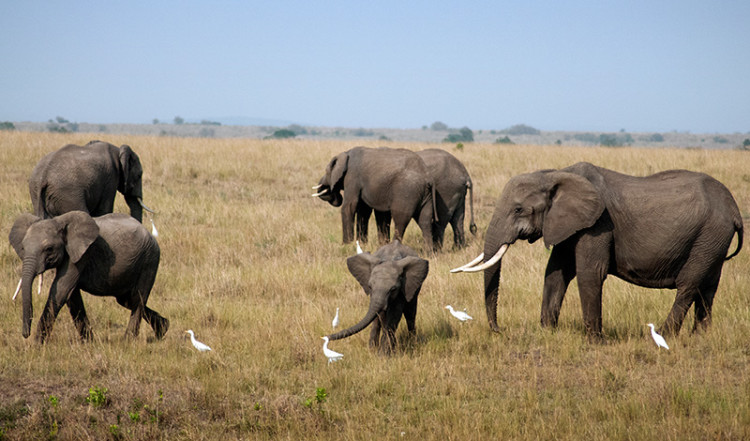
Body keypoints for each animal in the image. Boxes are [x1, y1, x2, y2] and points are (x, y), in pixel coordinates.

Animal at [8, 211, 168, 342]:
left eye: (49, 249)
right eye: (23, 248)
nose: (25, 334)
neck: (58, 221)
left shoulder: (82, 255)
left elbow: (61, 290)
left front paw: (37, 344)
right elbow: (71, 295)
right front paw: (88, 342)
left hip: (149, 259)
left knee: (137, 298)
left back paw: (128, 341)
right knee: (126, 300)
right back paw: (163, 329)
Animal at [312, 146, 440, 251]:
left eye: (326, 171)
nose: (334, 194)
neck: (345, 153)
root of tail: (428, 177)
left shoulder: (352, 176)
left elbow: (349, 206)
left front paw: (346, 245)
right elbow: (364, 211)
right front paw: (362, 244)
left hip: (407, 191)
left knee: (401, 219)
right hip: (425, 194)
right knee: (425, 221)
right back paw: (429, 254)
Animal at [452, 162, 748, 336]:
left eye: (517, 209)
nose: (499, 330)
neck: (554, 173)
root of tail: (734, 209)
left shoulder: (598, 224)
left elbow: (589, 273)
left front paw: (594, 340)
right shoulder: (569, 223)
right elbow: (556, 272)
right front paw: (548, 332)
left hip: (709, 235)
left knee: (689, 285)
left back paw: (663, 335)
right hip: (712, 241)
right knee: (708, 287)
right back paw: (700, 337)